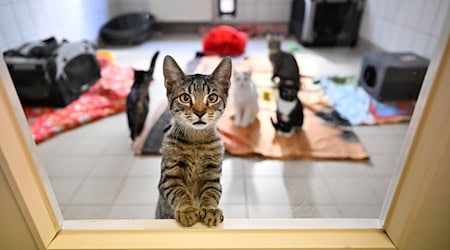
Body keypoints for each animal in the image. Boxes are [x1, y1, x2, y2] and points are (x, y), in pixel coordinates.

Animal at [156, 55, 232, 228]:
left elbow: (211, 193)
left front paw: (210, 209)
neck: (196, 143)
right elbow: (179, 192)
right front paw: (187, 210)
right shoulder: (169, 176)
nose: (199, 112)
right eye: (185, 98)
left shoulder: (213, 176)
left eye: (212, 98)